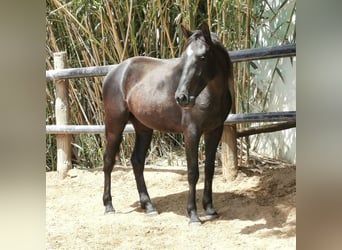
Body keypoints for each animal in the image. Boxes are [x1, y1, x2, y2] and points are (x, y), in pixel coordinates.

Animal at [101, 23, 234, 225]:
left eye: (203, 57)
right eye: (183, 57)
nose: (181, 97)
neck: (210, 94)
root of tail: (114, 72)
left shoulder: (214, 131)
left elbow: (209, 169)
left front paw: (210, 209)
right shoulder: (191, 132)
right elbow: (193, 172)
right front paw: (193, 215)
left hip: (143, 128)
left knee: (137, 161)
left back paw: (148, 206)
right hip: (115, 125)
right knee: (108, 161)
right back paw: (109, 206)